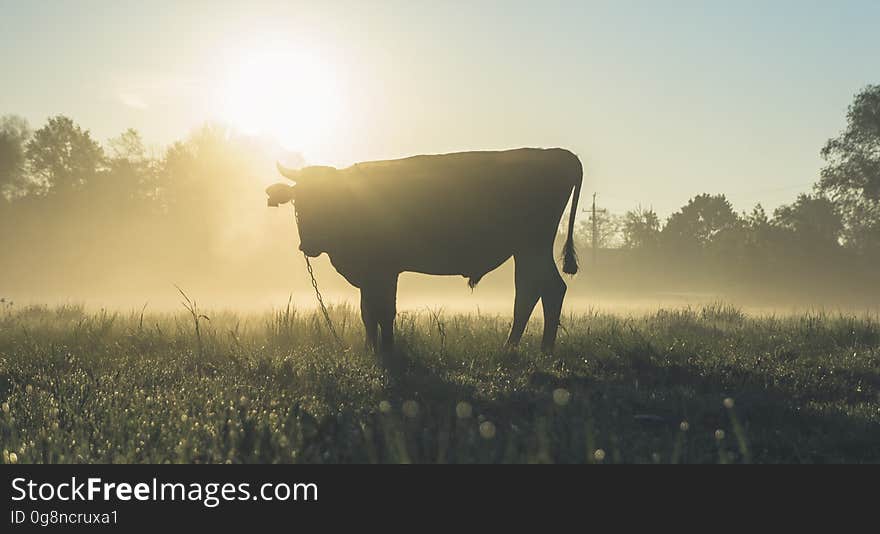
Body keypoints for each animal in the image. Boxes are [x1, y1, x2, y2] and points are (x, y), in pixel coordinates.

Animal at [268, 149, 584, 356]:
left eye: (327, 198)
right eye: (298, 201)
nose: (308, 244)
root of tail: (558, 154)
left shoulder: (384, 270)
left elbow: (385, 311)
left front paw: (388, 350)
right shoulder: (369, 275)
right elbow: (367, 312)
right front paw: (371, 349)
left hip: (532, 246)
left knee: (542, 290)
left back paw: (529, 349)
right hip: (527, 250)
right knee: (538, 290)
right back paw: (528, 348)